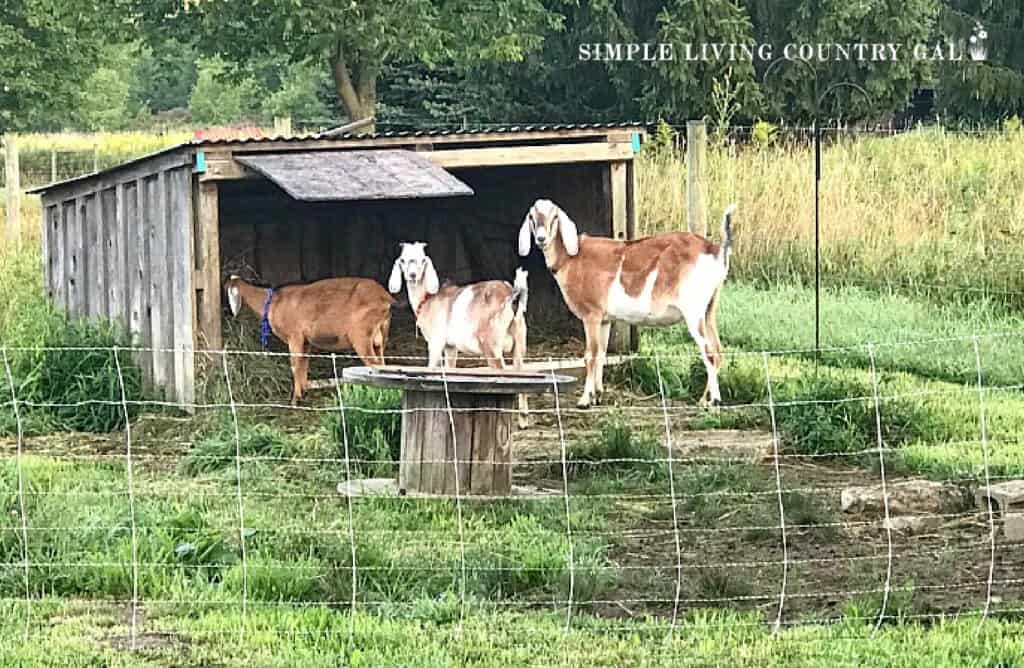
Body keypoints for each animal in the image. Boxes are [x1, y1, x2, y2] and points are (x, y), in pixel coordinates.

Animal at [226, 274, 393, 403]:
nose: (232, 315)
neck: (273, 303)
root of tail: (385, 298)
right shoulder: (305, 341)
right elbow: (304, 363)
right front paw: (304, 391)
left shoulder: (295, 336)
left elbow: (295, 365)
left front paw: (295, 399)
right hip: (380, 337)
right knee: (382, 365)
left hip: (361, 336)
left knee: (374, 364)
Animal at [520, 198, 737, 407]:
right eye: (531, 216)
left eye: (555, 216)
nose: (541, 239)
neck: (571, 258)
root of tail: (716, 251)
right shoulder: (604, 319)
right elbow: (601, 353)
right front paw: (597, 395)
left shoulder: (591, 314)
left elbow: (590, 355)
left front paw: (584, 400)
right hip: (709, 309)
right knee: (717, 350)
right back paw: (704, 399)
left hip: (693, 310)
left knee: (709, 352)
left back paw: (713, 401)